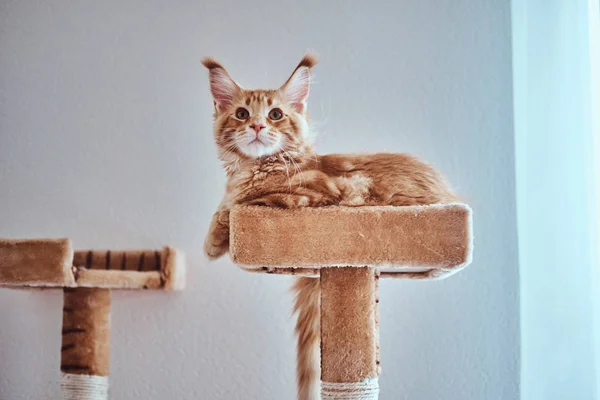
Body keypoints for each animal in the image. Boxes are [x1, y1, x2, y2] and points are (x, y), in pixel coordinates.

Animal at [204, 54, 458, 400]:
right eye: (242, 114)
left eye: (275, 114)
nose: (256, 126)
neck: (254, 167)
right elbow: (226, 204)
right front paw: (212, 238)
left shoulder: (310, 194)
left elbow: (243, 203)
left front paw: (218, 236)